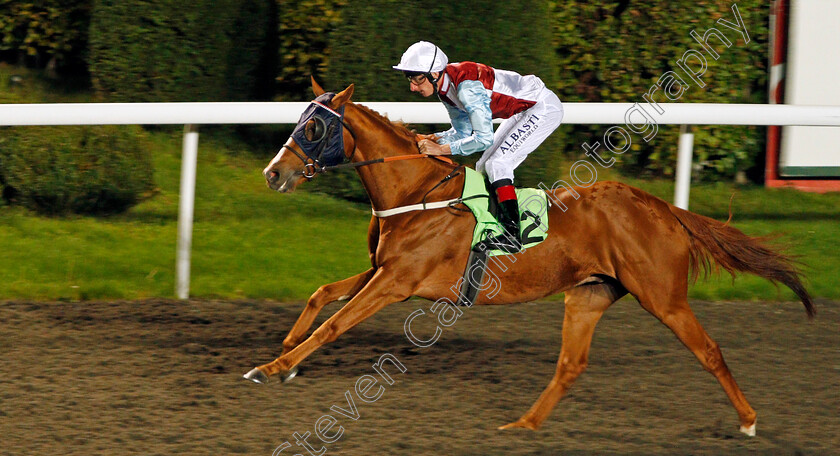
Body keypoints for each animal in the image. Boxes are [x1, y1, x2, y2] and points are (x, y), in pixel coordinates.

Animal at [249, 80, 812, 436]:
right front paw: (286, 352)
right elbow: (322, 294)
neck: (416, 191)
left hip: (663, 297)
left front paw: (274, 367)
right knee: (570, 365)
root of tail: (664, 209)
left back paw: (748, 421)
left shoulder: (397, 281)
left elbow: (335, 324)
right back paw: (524, 425)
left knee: (710, 351)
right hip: (588, 295)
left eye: (315, 129)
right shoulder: (380, 270)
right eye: (299, 121)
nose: (273, 174)